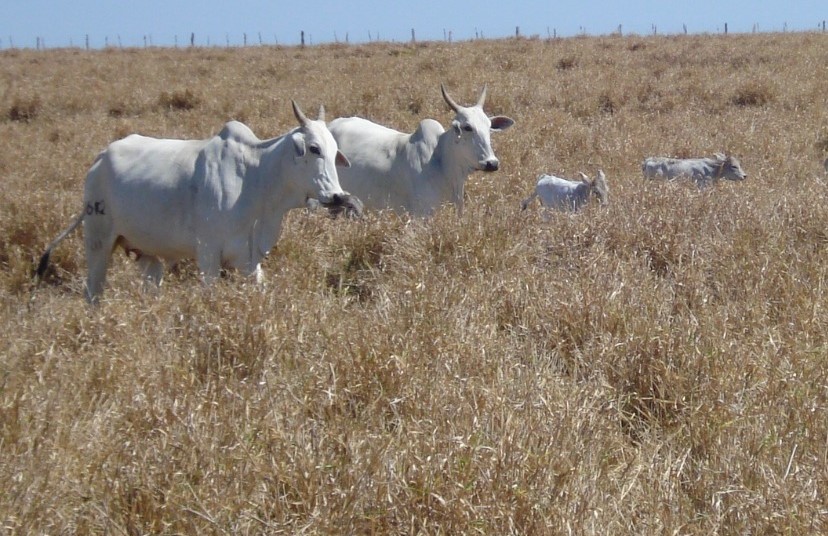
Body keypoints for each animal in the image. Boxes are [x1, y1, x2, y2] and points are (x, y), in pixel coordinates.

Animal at [35, 101, 360, 303]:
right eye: (314, 149)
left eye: (334, 151)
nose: (338, 196)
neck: (256, 178)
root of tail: (100, 158)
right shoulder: (208, 254)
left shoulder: (248, 259)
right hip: (98, 240)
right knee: (93, 292)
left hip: (147, 255)